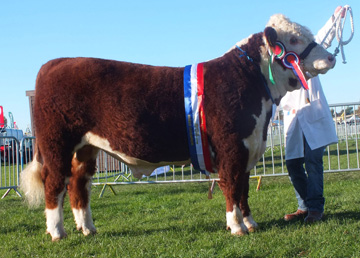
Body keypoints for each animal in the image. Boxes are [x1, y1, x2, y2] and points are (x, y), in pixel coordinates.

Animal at [19, 13, 334, 240]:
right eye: (293, 39)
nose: (330, 57)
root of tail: (55, 63)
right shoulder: (231, 146)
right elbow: (232, 186)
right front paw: (236, 227)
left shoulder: (249, 146)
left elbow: (243, 188)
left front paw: (251, 223)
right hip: (57, 143)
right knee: (54, 183)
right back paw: (57, 232)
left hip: (86, 148)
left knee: (78, 184)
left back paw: (87, 228)